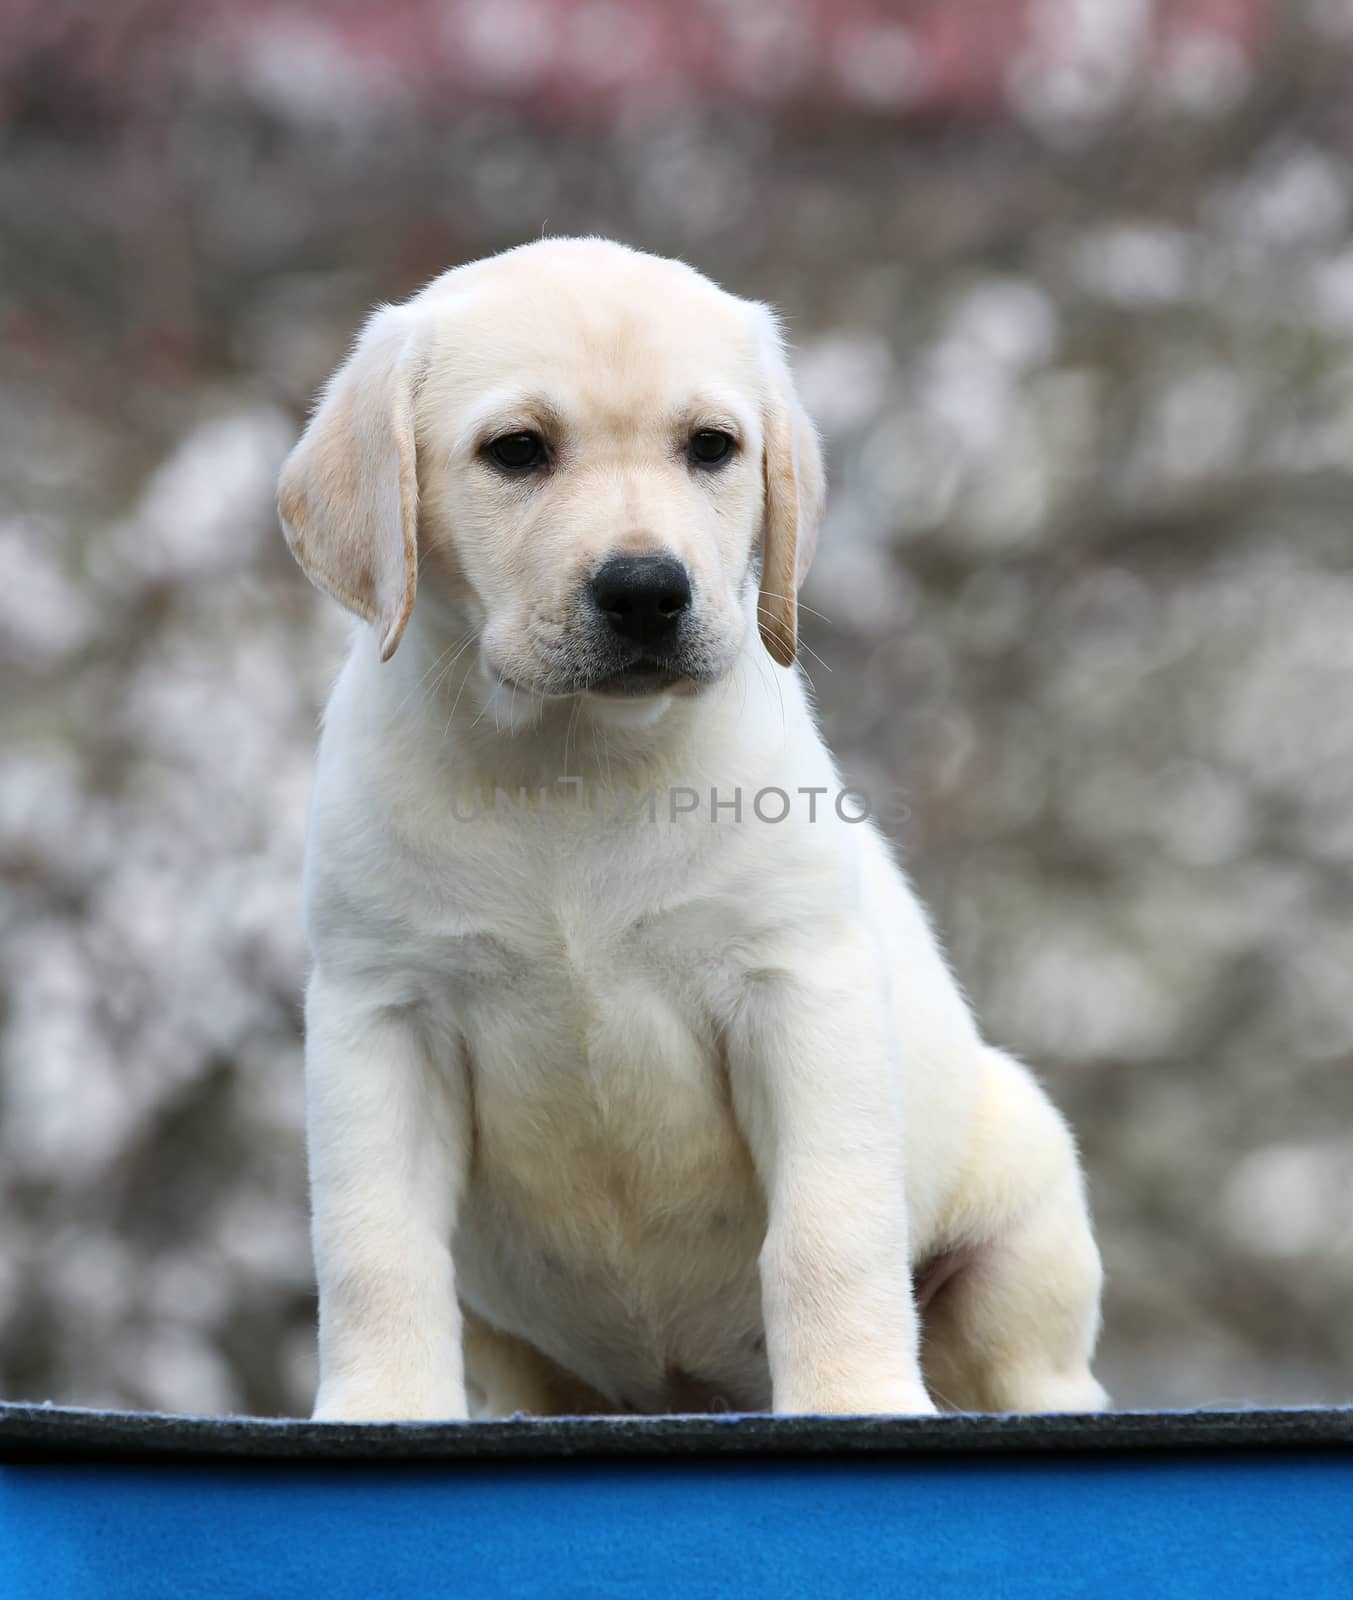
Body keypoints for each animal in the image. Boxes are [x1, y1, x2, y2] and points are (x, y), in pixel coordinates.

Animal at [281, 233, 1106, 1414]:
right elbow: (373, 1248)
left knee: (1033, 1368)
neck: (572, 763)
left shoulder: (797, 990)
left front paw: (853, 1397)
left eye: (711, 447)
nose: (644, 590)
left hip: (1021, 1205)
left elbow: (826, 1232)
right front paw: (383, 1408)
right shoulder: (380, 1016)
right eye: (516, 451)